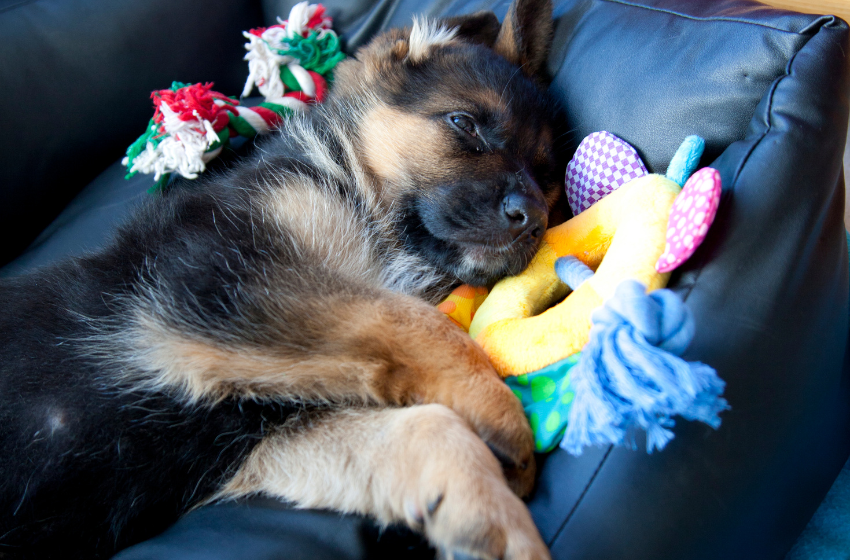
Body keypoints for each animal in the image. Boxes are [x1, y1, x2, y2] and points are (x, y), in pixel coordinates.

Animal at [0, 2, 560, 556]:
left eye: (544, 173)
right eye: (464, 124)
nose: (532, 218)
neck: (350, 184)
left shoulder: (258, 431)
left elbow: (424, 428)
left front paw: (495, 523)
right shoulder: (224, 276)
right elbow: (415, 322)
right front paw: (500, 408)